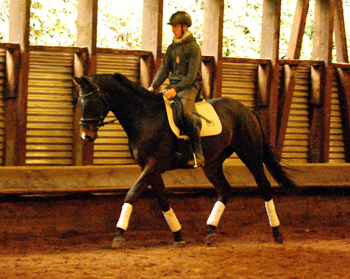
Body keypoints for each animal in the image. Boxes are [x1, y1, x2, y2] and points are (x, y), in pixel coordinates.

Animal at [73, 73, 296, 248]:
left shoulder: (153, 165)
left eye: (92, 102)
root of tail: (246, 110)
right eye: (80, 102)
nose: (86, 136)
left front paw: (119, 235)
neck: (144, 116)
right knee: (224, 190)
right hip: (212, 163)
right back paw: (210, 231)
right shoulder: (150, 168)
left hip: (250, 153)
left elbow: (132, 194)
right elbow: (163, 200)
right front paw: (178, 236)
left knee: (264, 185)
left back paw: (277, 233)